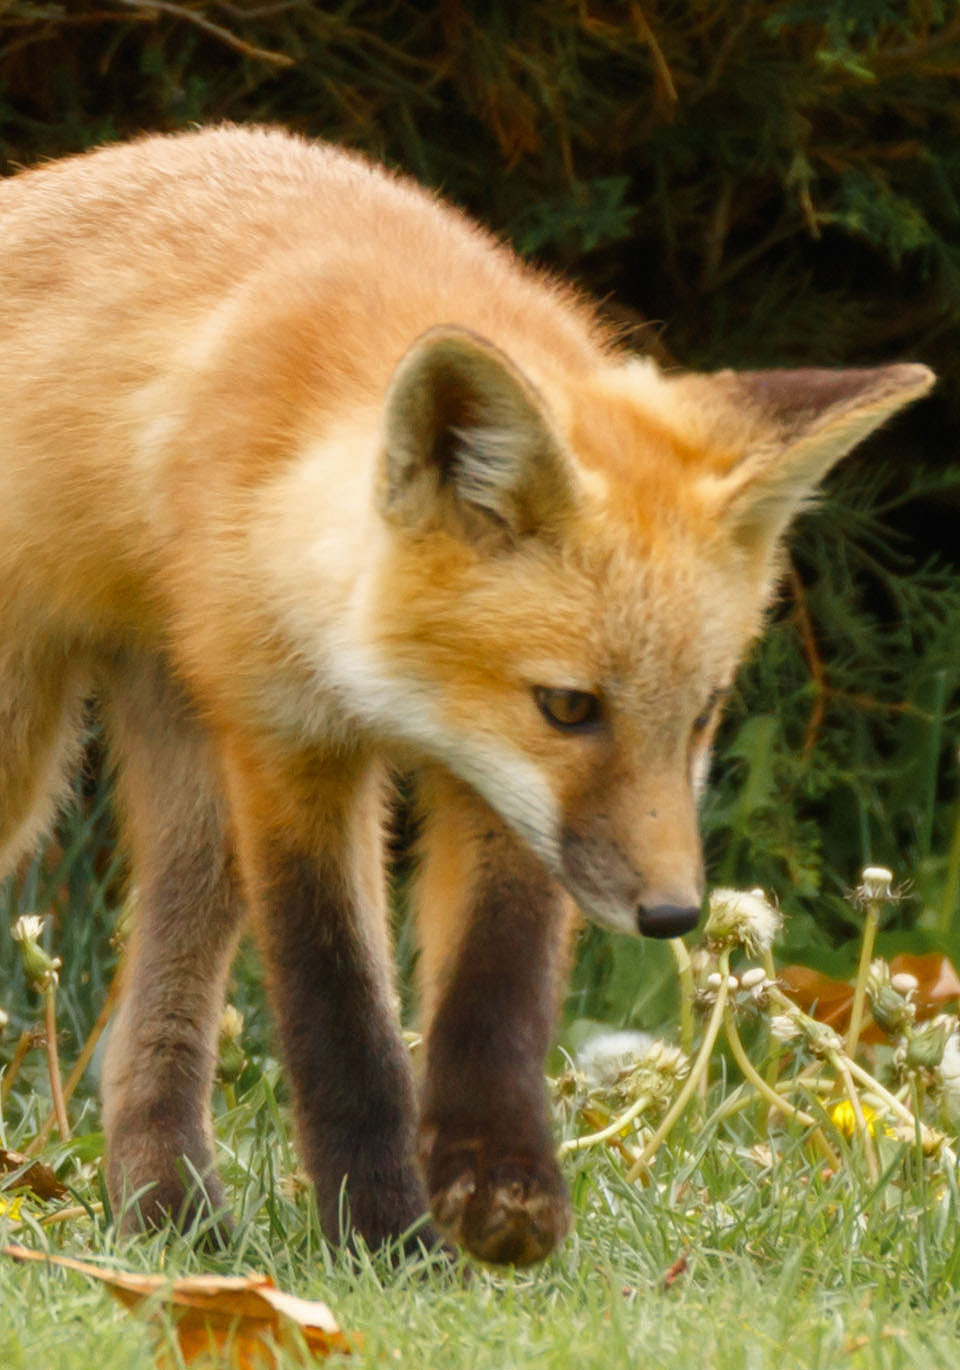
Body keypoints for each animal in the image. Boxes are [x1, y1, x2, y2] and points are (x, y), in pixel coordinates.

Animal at [0, 126, 931, 1260]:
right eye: (570, 706)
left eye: (704, 710)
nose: (673, 913)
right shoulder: (285, 745)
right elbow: (342, 1013)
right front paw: (386, 1238)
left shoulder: (499, 793)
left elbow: (499, 991)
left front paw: (498, 1184)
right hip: (39, 759)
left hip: (192, 798)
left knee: (145, 1037)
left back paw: (172, 1221)